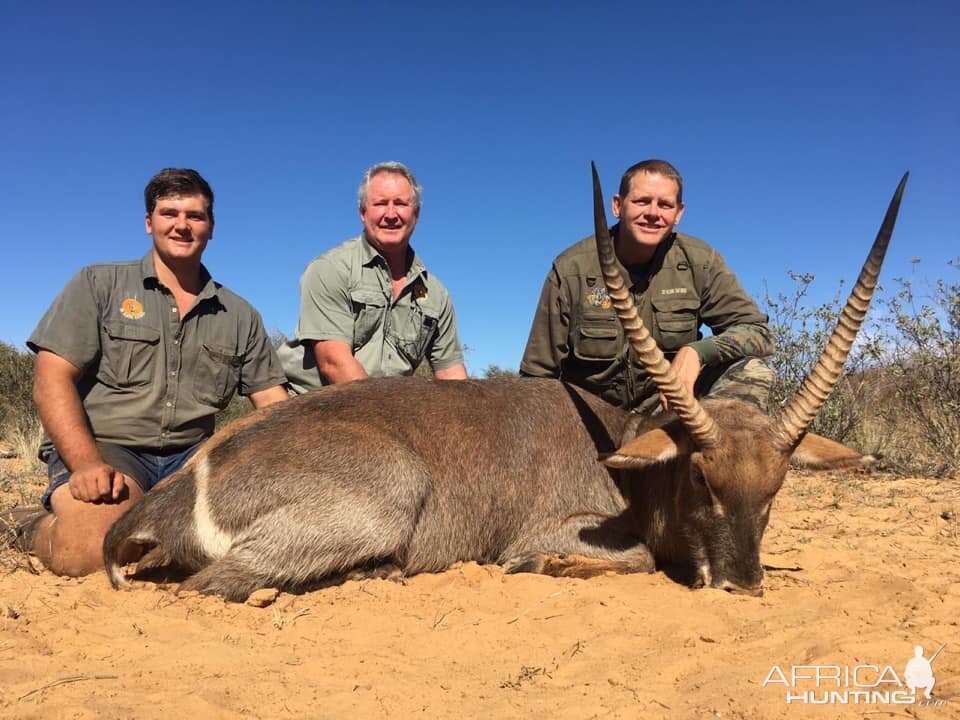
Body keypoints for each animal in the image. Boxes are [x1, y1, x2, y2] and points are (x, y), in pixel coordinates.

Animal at [103, 166, 908, 600]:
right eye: (701, 479)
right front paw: (552, 564)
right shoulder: (559, 526)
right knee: (218, 585)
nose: (743, 584)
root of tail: (180, 487)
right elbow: (627, 557)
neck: (630, 462)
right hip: (390, 493)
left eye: (776, 490)